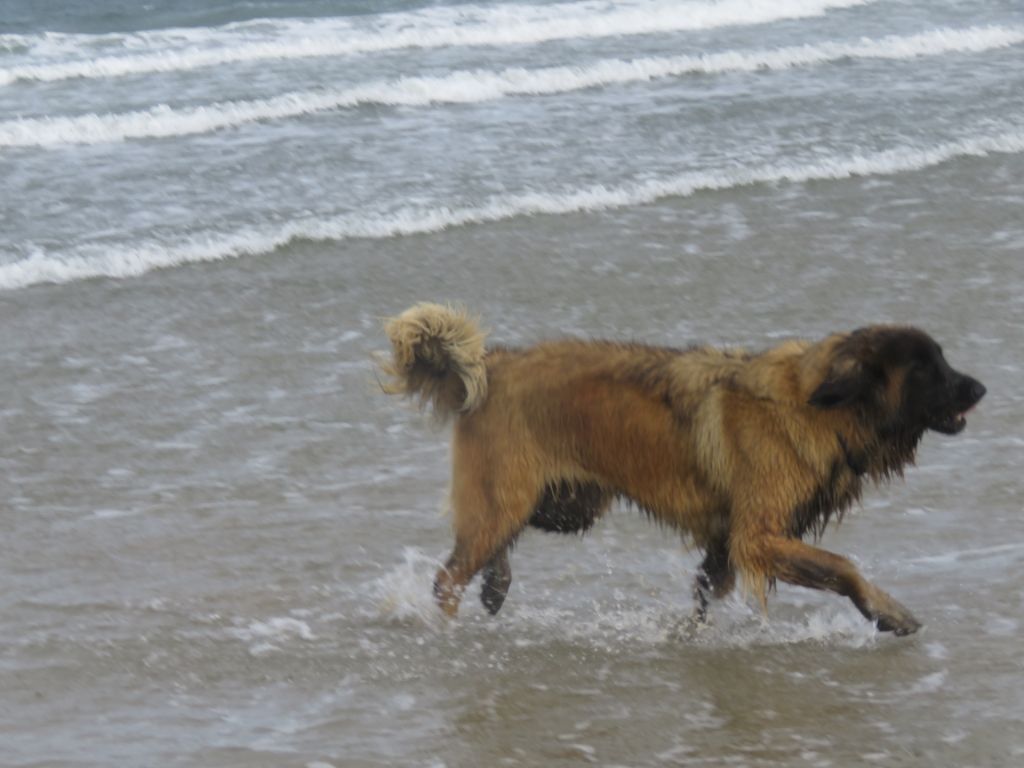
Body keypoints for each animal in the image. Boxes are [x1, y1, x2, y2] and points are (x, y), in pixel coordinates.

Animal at [376, 303, 983, 634]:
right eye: (926, 368)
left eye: (942, 360)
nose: (980, 388)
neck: (819, 406)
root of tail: (491, 364)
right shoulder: (757, 536)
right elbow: (844, 566)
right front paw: (888, 612)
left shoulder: (728, 541)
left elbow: (705, 591)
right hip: (512, 494)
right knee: (452, 572)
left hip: (563, 504)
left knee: (489, 545)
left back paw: (495, 586)